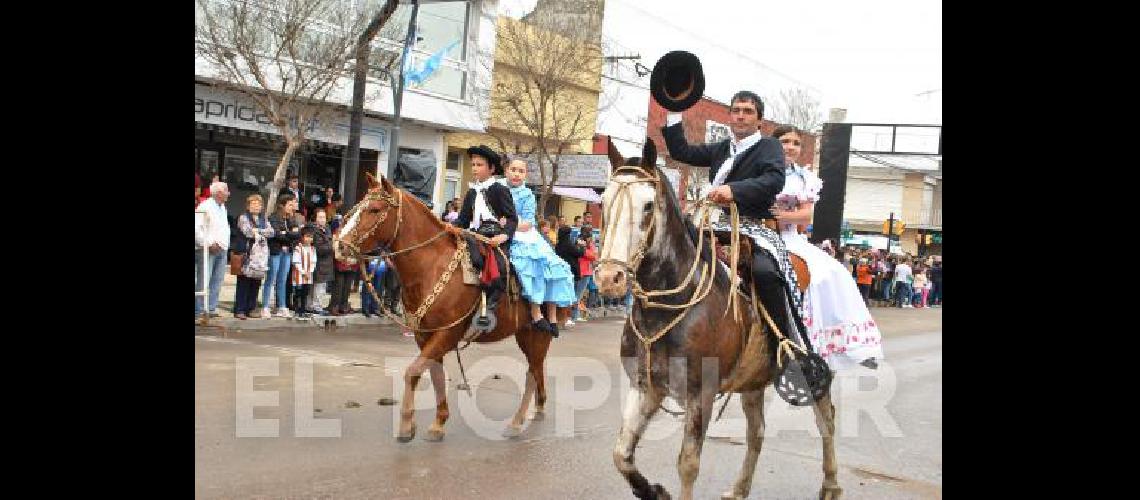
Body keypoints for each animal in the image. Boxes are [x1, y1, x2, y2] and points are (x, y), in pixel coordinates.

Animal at [332, 175, 570, 441]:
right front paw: (437, 422)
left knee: (532, 373)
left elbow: (413, 371)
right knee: (535, 373)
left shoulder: (447, 333)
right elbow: (434, 374)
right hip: (525, 335)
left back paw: (517, 422)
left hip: (537, 336)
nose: (339, 246)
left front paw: (406, 424)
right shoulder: (424, 336)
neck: (430, 266)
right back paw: (537, 409)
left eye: (374, 210)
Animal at [592, 141, 843, 500]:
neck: (670, 305)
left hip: (818, 370)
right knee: (757, 431)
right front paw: (653, 490)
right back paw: (739, 488)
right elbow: (621, 454)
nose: (609, 278)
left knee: (826, 420)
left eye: (648, 206)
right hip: (753, 380)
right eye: (603, 202)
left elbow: (688, 463)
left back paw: (831, 484)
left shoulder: (701, 392)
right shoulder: (646, 386)